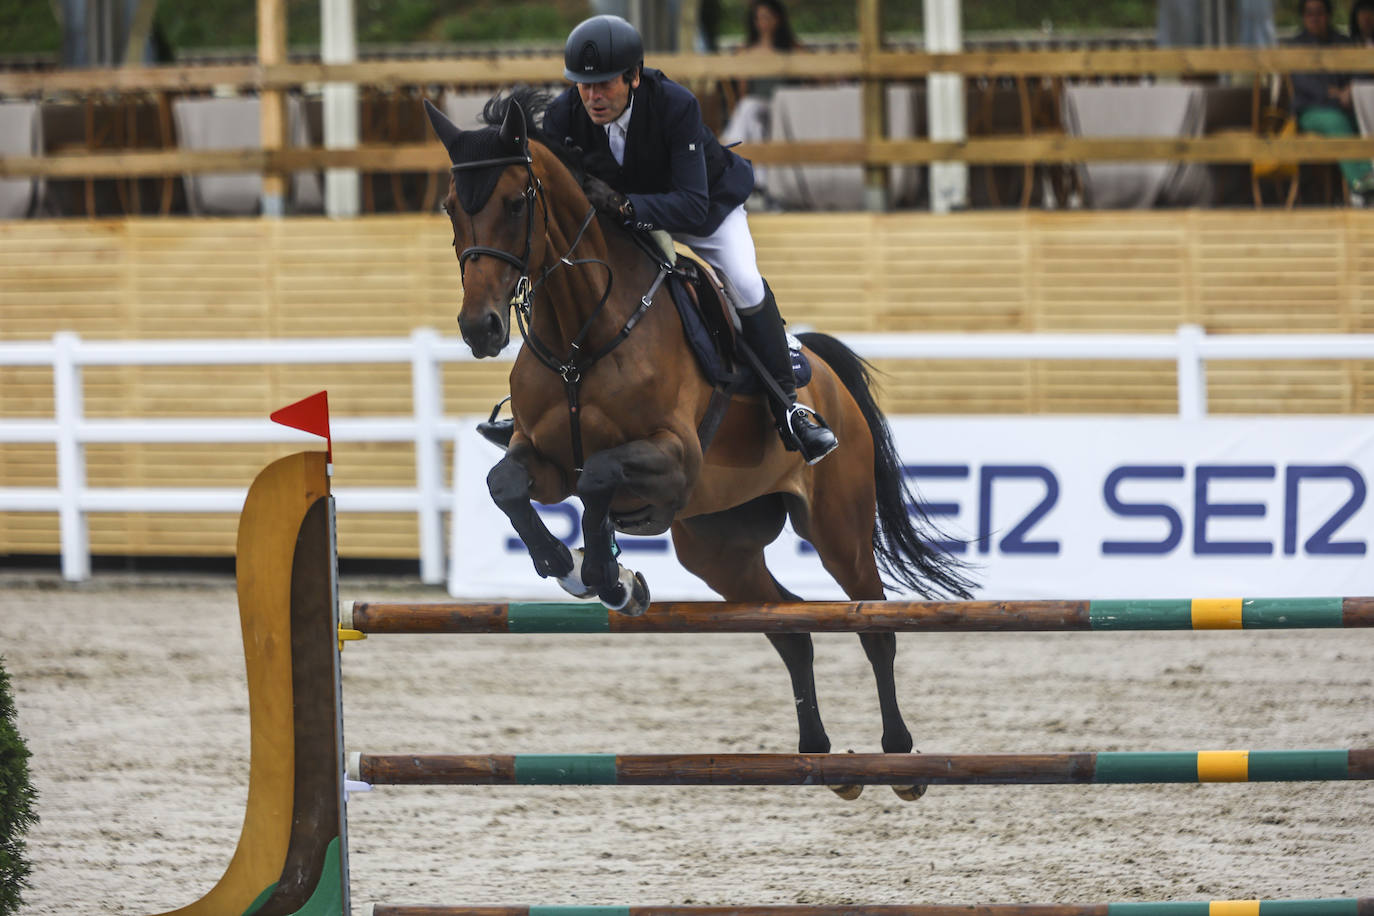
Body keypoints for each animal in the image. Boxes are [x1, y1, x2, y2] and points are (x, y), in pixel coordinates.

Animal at [423, 87, 972, 802]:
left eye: (517, 201)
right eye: (451, 206)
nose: (480, 329)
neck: (581, 332)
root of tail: (823, 376)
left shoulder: (674, 459)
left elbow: (600, 476)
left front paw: (607, 576)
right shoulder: (544, 461)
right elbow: (507, 484)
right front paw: (575, 567)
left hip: (837, 527)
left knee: (871, 624)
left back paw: (899, 759)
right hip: (718, 547)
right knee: (790, 626)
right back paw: (819, 755)